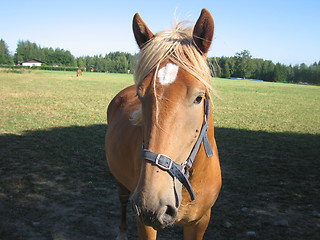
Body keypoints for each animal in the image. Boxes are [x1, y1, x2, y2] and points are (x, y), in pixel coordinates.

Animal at [106, 8, 221, 240]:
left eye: (199, 97)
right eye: (141, 95)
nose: (151, 204)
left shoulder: (200, 221)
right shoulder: (145, 223)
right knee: (122, 200)